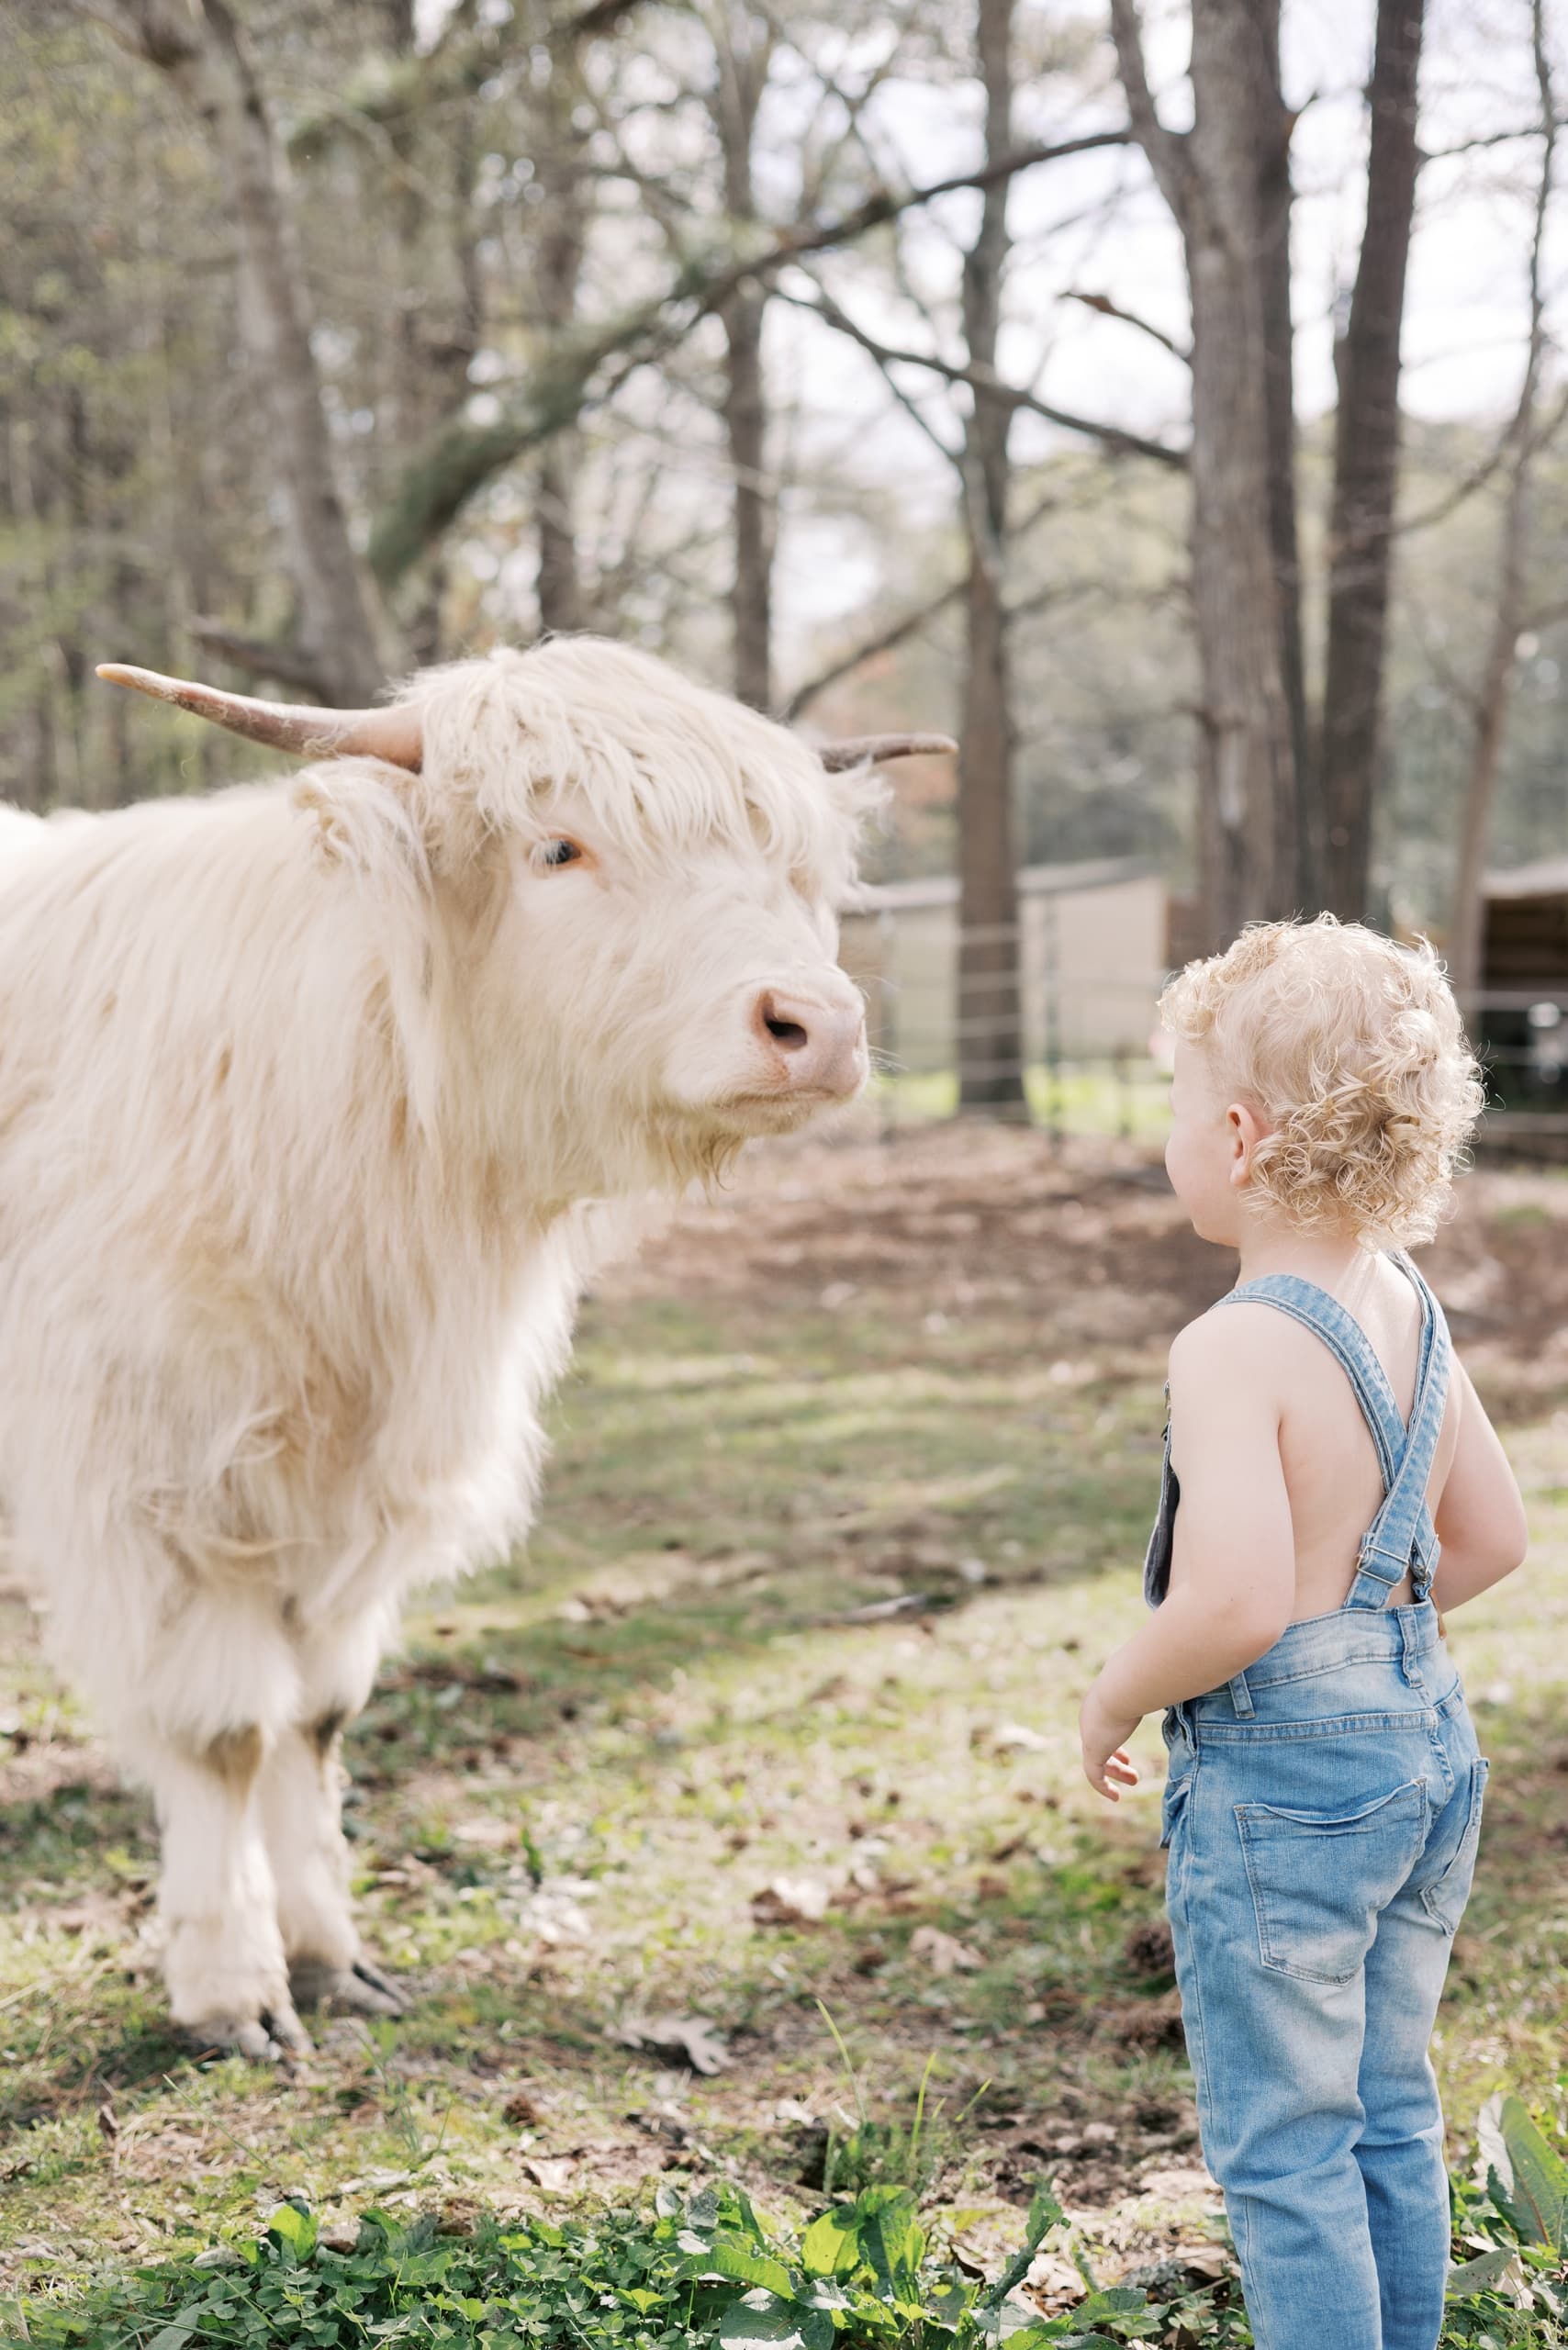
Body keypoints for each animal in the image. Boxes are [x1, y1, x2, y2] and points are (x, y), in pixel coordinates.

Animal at [0, 637, 949, 2058]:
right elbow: (225, 1731)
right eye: (560, 847)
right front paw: (233, 1988)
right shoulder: (156, 1481)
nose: (817, 1024)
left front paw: (332, 1954)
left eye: (794, 867)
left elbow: (317, 1717)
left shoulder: (353, 1493)